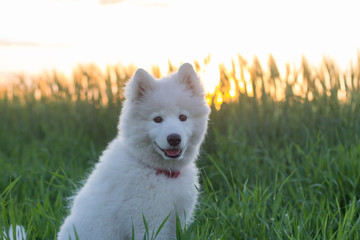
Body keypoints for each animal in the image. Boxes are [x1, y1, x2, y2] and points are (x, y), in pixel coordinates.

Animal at [57, 62, 211, 239]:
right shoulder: (150, 222)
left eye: (183, 117)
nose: (174, 138)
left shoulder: (178, 218)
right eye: (157, 119)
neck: (160, 172)